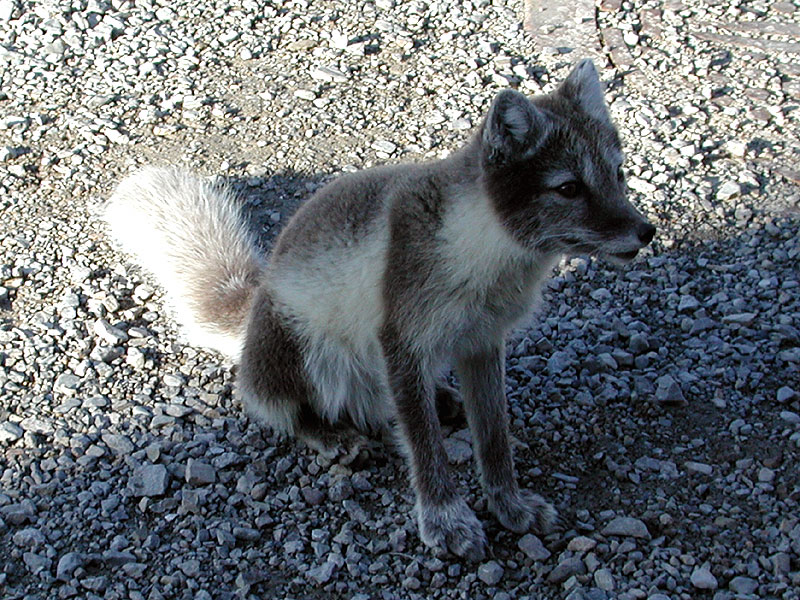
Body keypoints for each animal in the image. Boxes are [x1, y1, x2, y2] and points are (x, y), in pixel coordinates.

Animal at [104, 58, 656, 560]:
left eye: (619, 174)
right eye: (569, 188)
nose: (647, 232)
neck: (484, 254)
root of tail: (255, 301)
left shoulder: (482, 342)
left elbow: (494, 439)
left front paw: (509, 504)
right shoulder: (401, 340)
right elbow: (425, 447)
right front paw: (446, 521)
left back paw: (439, 400)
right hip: (304, 350)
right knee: (272, 405)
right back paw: (330, 434)